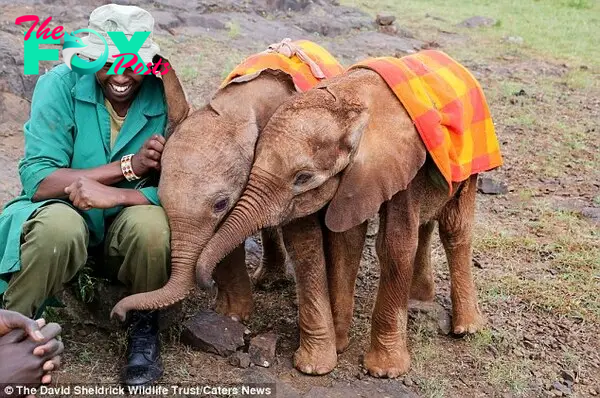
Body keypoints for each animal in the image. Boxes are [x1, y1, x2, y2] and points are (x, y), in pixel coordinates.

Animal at [197, 50, 502, 376]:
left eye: (302, 177)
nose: (207, 284)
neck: (347, 102)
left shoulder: (402, 159)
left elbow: (394, 245)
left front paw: (384, 371)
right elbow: (346, 242)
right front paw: (338, 347)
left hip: (470, 167)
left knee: (455, 229)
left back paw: (466, 329)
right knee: (427, 223)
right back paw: (420, 300)